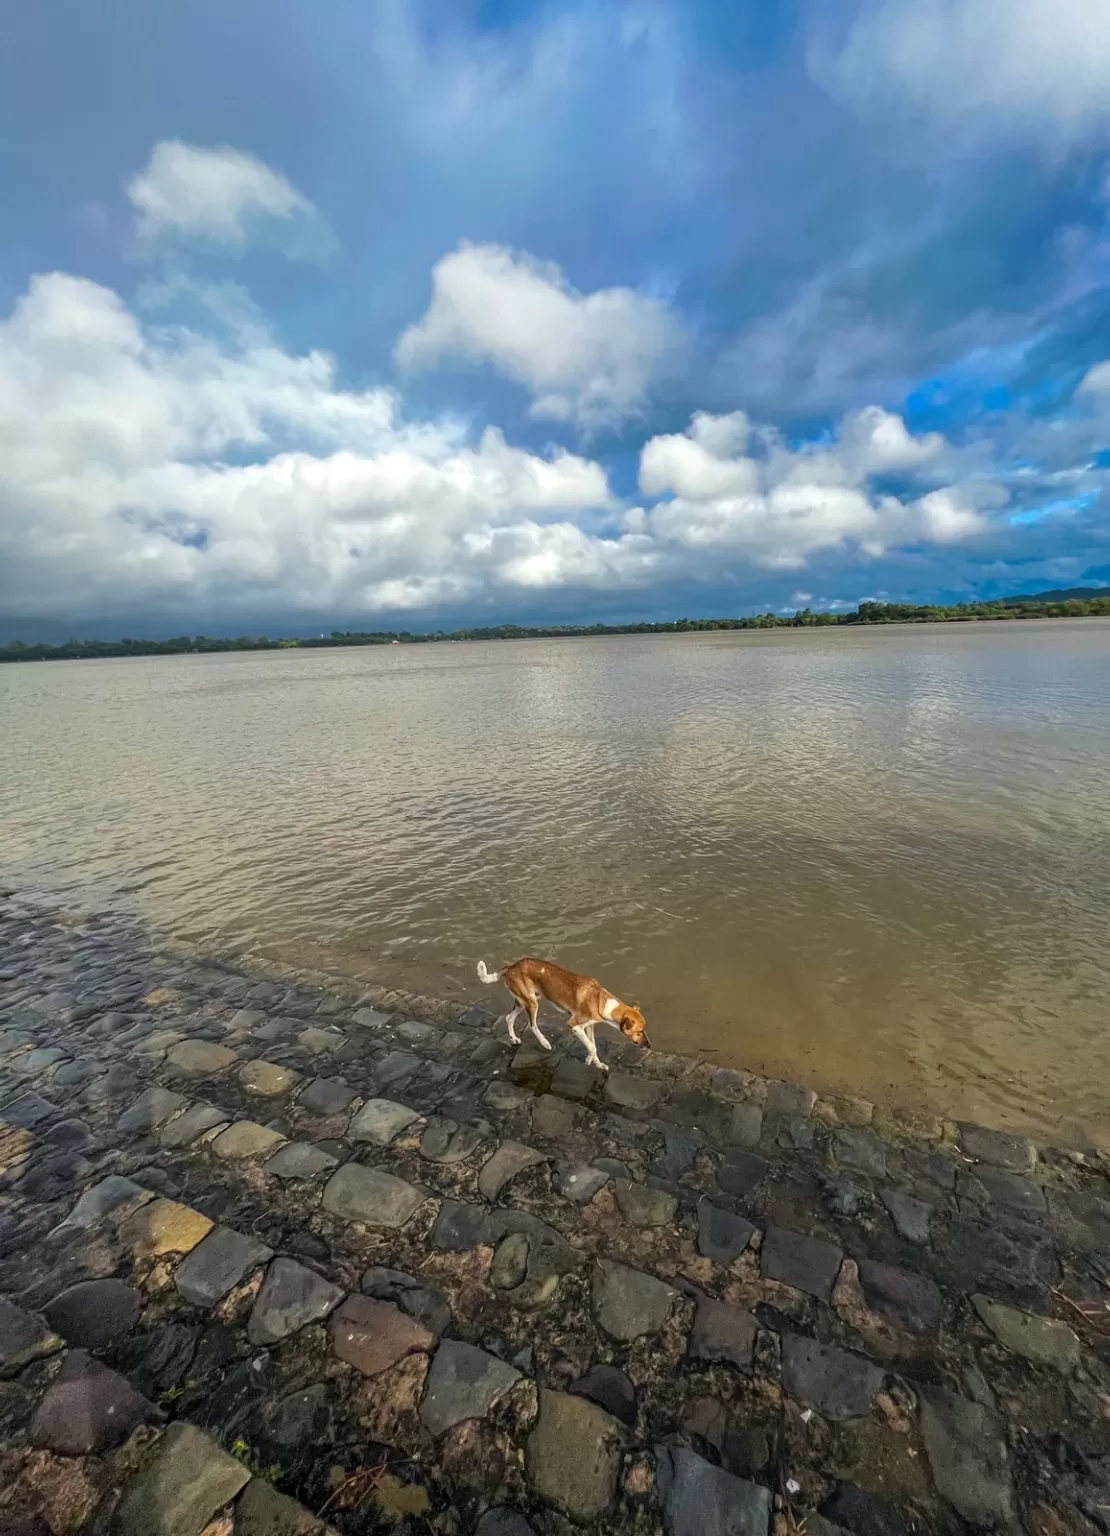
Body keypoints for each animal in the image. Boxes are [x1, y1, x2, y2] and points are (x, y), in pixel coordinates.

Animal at [479, 952, 650, 1075]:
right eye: (640, 1031)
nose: (649, 1045)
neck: (600, 1001)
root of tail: (512, 966)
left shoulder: (589, 1027)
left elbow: (593, 1045)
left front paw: (598, 1064)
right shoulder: (574, 1026)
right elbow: (592, 1047)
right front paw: (589, 1060)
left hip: (522, 1002)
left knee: (509, 1018)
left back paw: (514, 1039)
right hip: (532, 1003)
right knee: (532, 1025)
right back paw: (545, 1043)